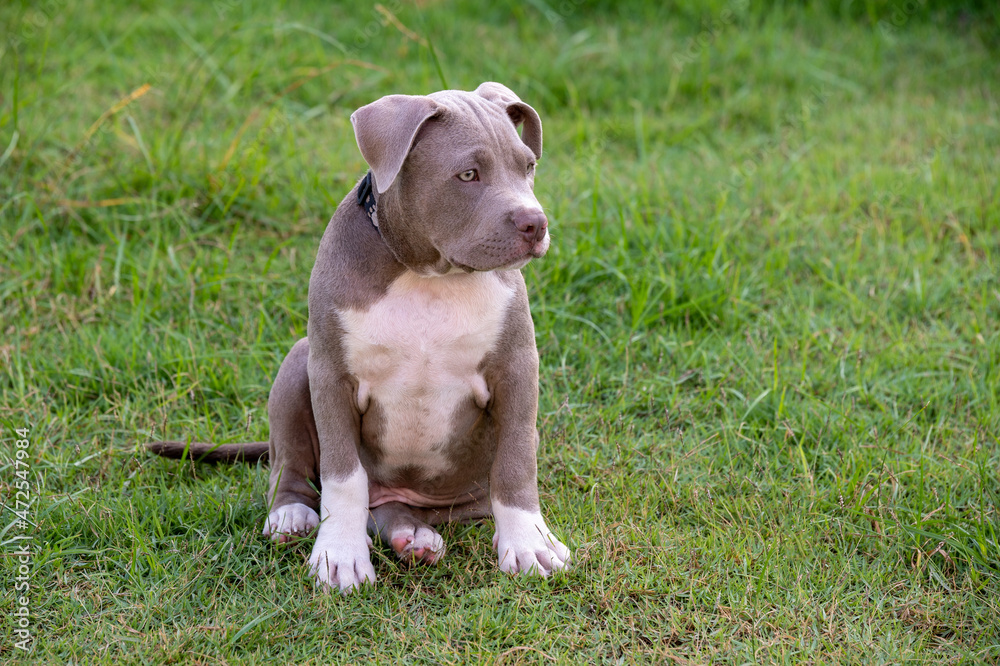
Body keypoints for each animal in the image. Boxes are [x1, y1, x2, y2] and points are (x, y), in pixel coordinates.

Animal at [148, 83, 572, 592]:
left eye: (527, 166)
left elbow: (516, 461)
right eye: (468, 174)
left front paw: (530, 544)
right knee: (291, 464)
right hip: (299, 362)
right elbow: (343, 477)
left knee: (394, 508)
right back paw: (294, 516)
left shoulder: (516, 368)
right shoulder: (332, 377)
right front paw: (340, 557)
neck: (429, 276)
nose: (536, 224)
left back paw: (414, 537)